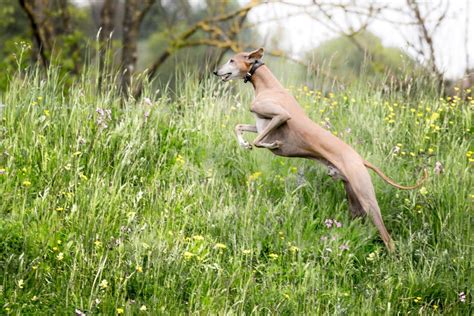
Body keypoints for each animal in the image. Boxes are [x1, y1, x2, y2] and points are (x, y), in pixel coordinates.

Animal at [213, 47, 428, 252]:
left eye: (231, 60)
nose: (215, 71)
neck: (267, 85)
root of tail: (359, 159)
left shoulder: (281, 116)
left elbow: (260, 141)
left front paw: (273, 145)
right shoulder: (260, 125)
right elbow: (239, 127)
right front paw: (243, 143)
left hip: (366, 197)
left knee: (388, 239)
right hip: (354, 200)